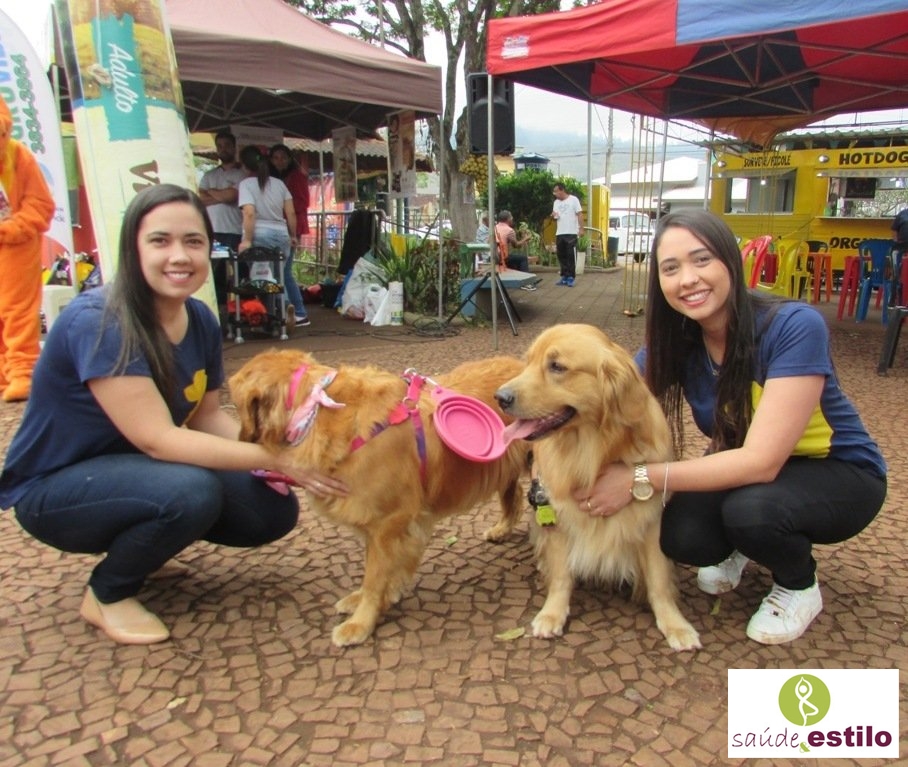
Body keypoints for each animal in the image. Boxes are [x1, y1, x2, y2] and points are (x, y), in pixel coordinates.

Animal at [229, 349, 531, 647]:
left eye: (236, 404)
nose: (239, 441)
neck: (318, 409)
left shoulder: (389, 522)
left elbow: (375, 577)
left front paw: (361, 622)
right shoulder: (376, 524)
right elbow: (376, 572)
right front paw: (366, 599)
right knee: (513, 492)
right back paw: (502, 528)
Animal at [494, 324, 701, 651]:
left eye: (557, 366)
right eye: (528, 361)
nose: (500, 397)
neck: (593, 452)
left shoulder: (650, 521)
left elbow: (658, 581)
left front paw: (675, 624)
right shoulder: (558, 516)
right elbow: (562, 576)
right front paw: (552, 613)